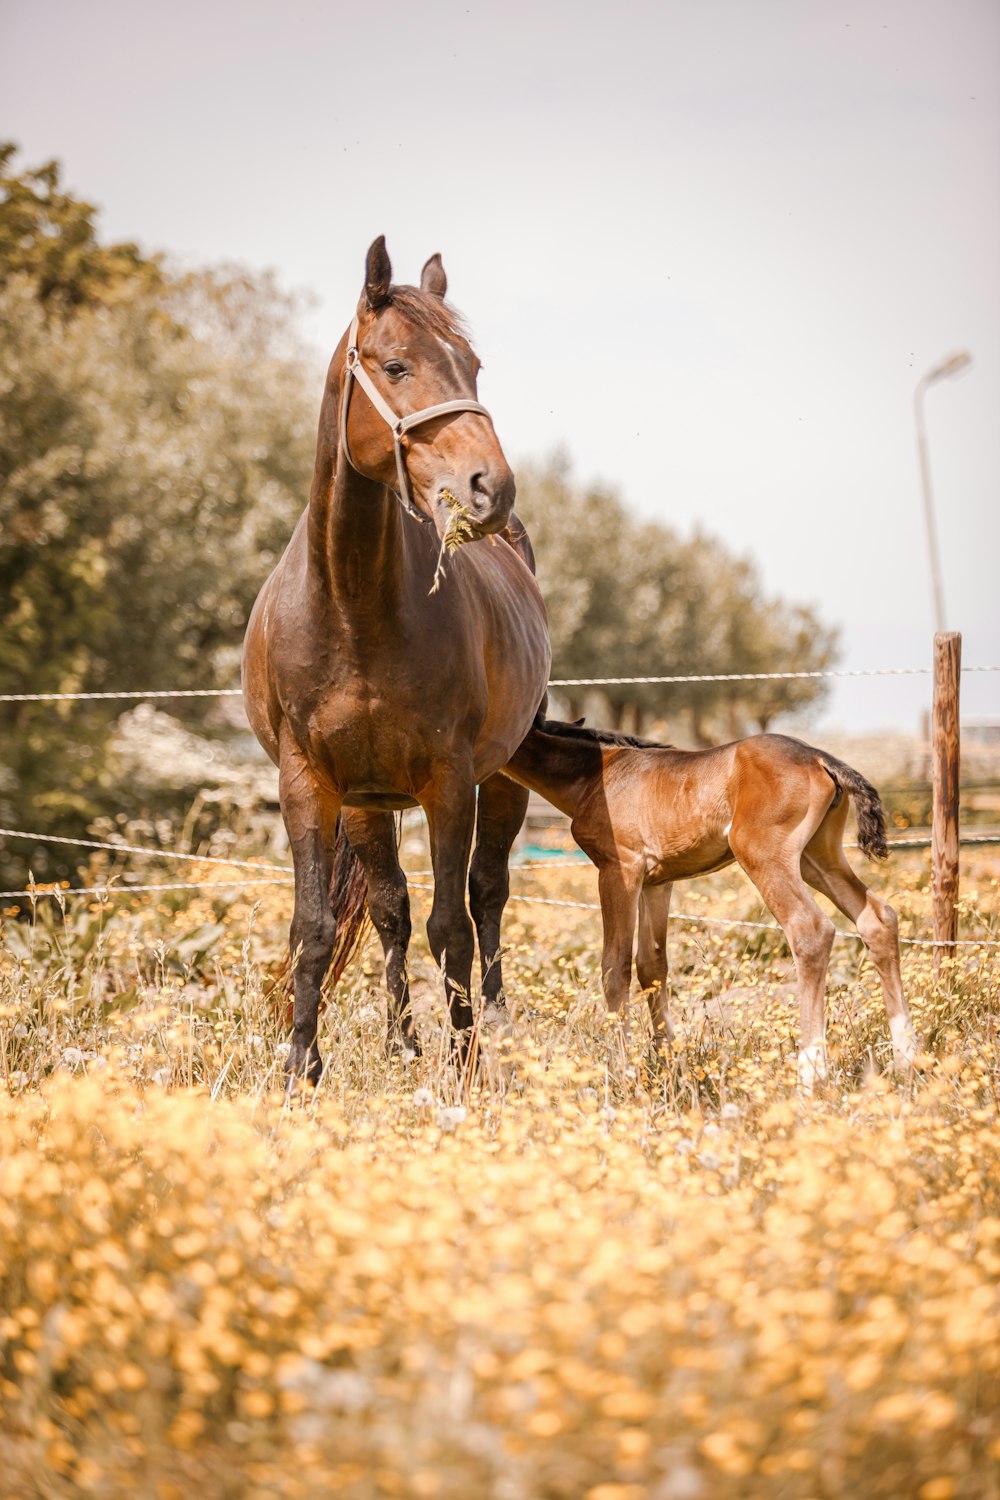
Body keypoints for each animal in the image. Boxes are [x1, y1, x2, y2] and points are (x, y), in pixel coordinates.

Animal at [245, 240, 551, 1086]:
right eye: (395, 366)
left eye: (473, 366)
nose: (490, 487)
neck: (353, 608)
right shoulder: (309, 781)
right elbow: (319, 924)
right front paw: (302, 1068)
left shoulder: (449, 778)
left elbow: (452, 924)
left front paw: (465, 1064)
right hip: (368, 802)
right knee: (390, 907)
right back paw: (400, 1040)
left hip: (504, 777)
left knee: (486, 894)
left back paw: (495, 1024)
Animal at [503, 717, 917, 1092]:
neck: (594, 773)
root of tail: (818, 758)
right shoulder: (657, 883)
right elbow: (652, 966)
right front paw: (668, 1064)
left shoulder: (620, 868)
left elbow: (615, 965)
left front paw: (619, 1071)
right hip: (820, 858)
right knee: (878, 919)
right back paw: (906, 1060)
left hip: (763, 855)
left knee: (810, 929)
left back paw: (810, 1076)